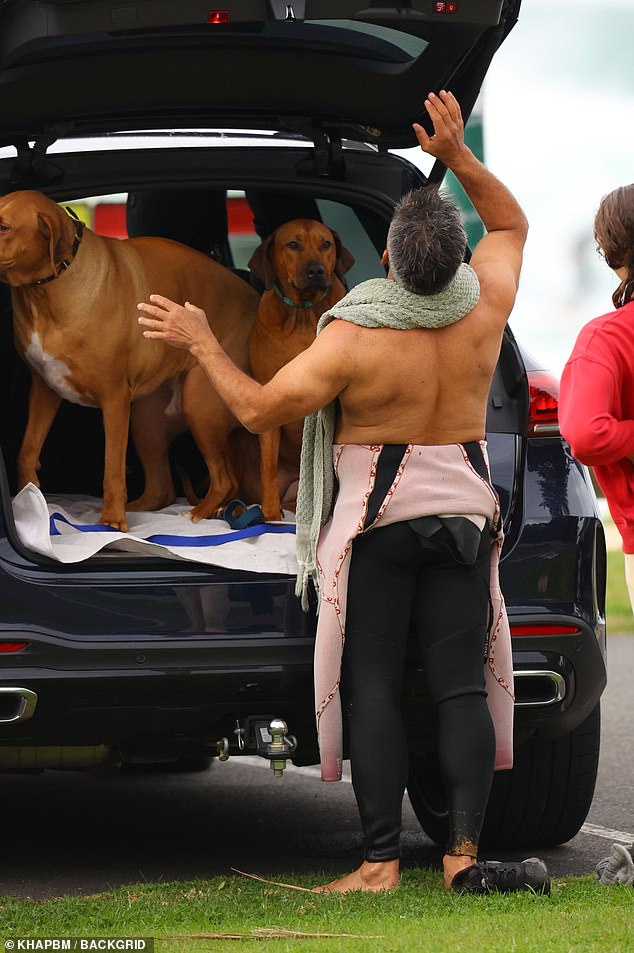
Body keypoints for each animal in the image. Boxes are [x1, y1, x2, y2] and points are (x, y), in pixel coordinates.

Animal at [0, 186, 258, 528]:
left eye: (4, 227)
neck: (48, 291)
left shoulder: (114, 399)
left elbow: (112, 468)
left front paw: (111, 520)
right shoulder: (44, 389)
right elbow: (27, 450)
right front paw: (29, 499)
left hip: (199, 404)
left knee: (225, 479)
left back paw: (199, 512)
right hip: (145, 422)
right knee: (161, 490)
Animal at [246, 220, 354, 520]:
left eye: (325, 244)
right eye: (293, 245)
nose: (316, 270)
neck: (303, 315)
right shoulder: (266, 398)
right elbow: (267, 466)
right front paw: (271, 516)